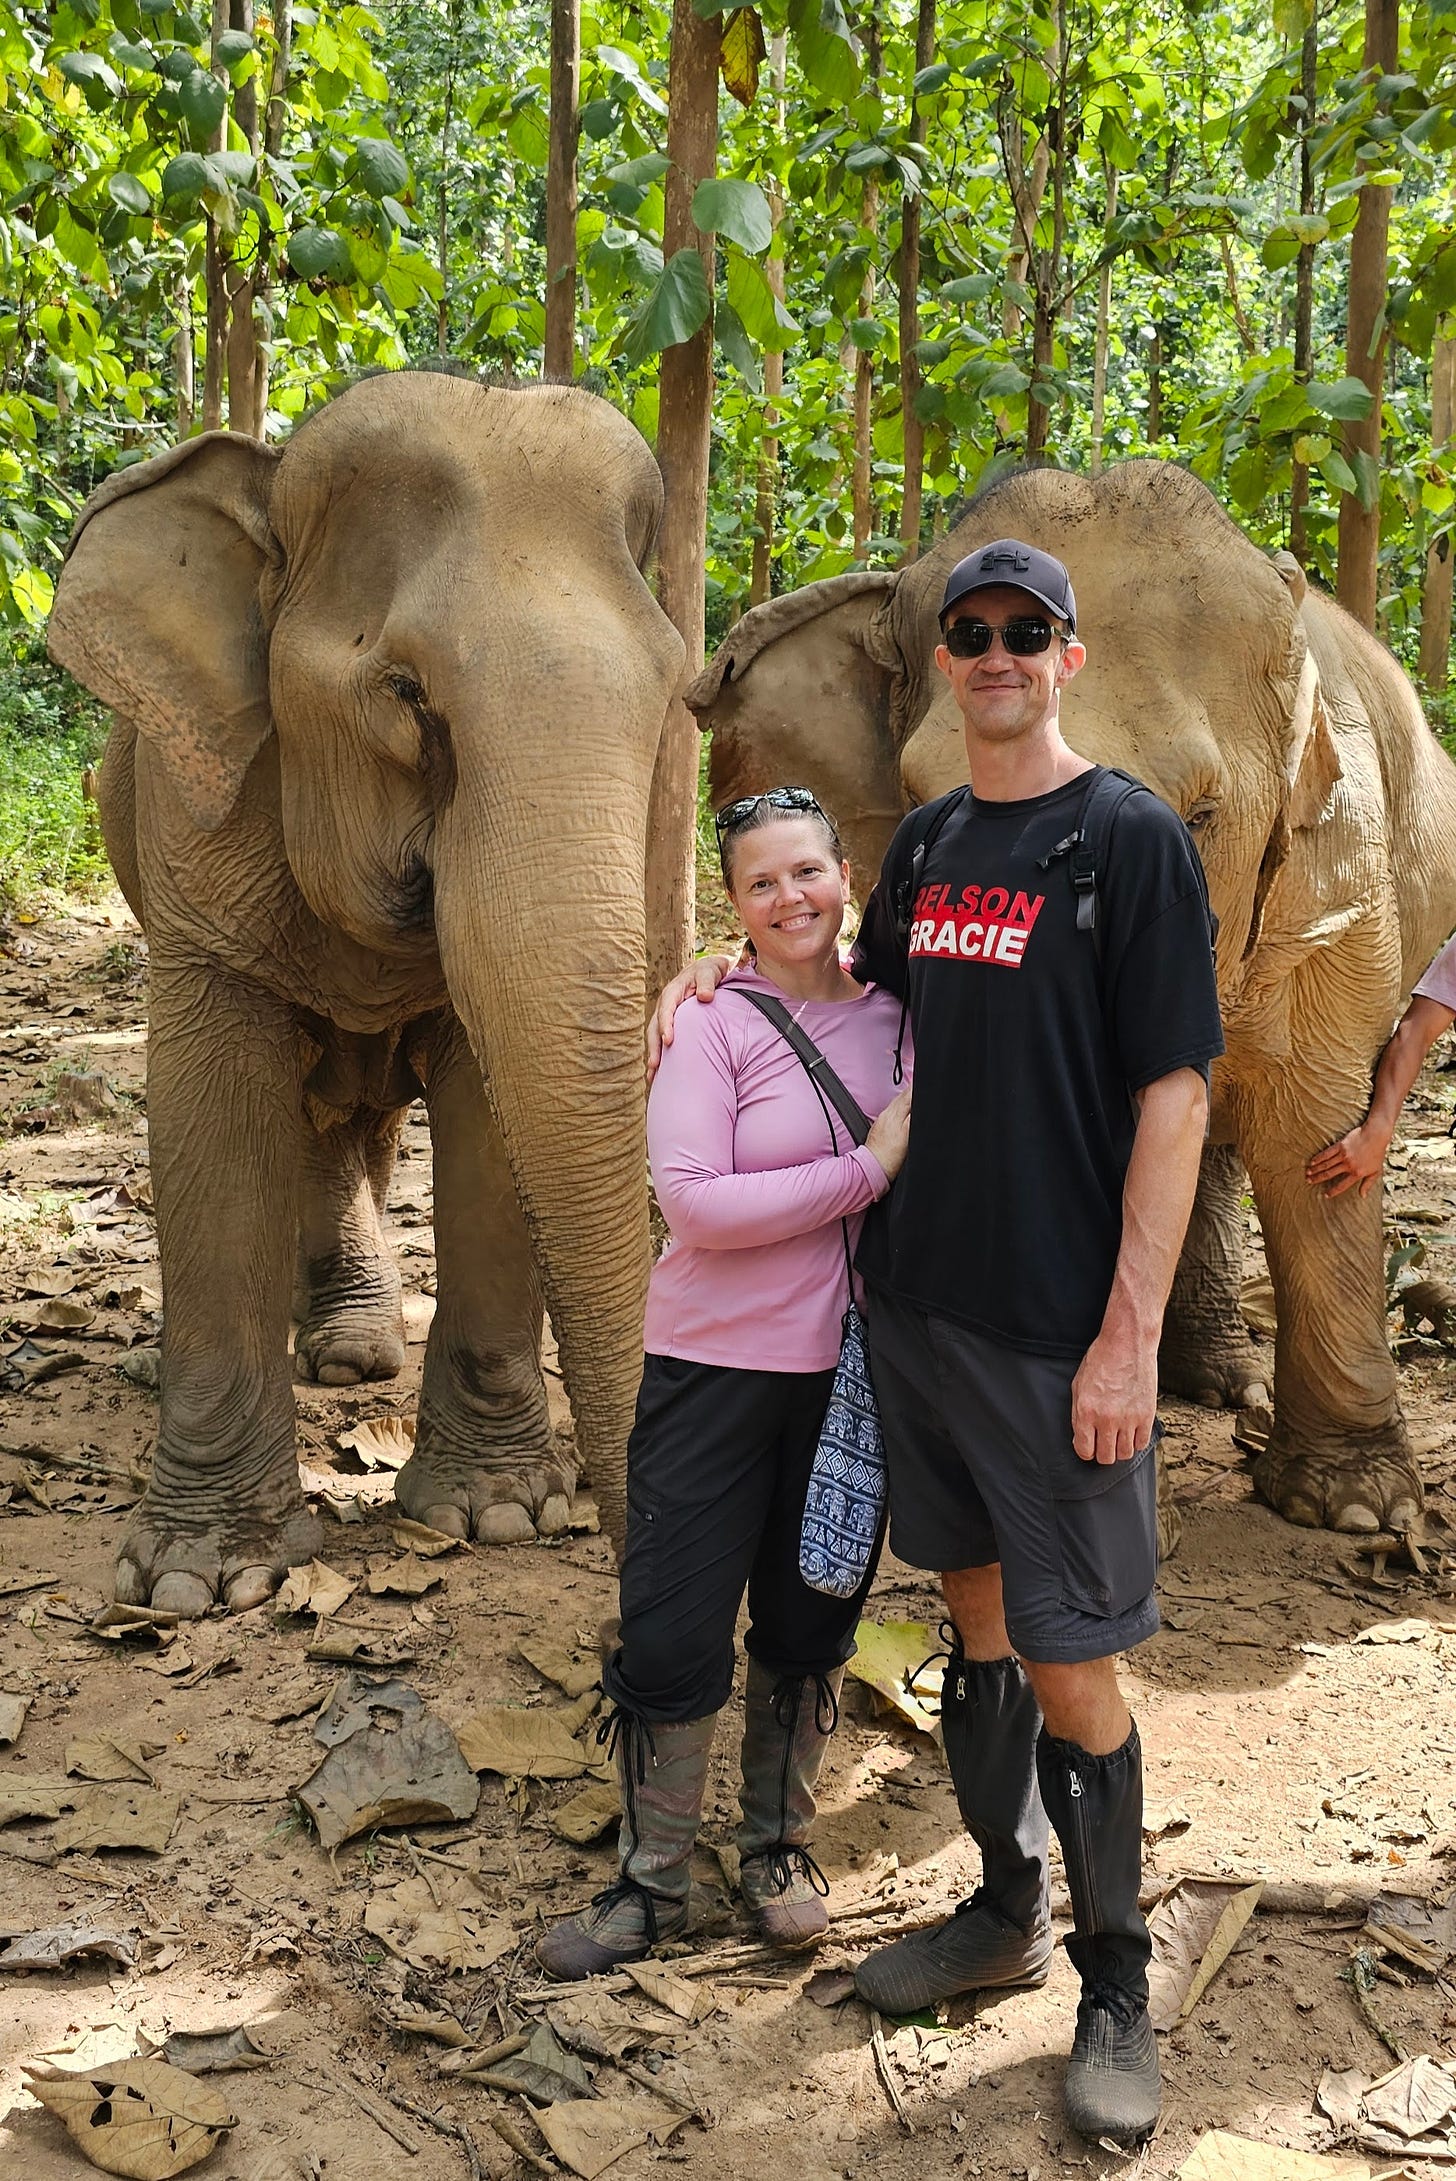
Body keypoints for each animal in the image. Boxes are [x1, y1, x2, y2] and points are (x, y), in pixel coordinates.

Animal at [47, 369, 684, 1614]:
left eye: (674, 688)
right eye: (404, 691)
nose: (628, 1640)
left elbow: (490, 1119)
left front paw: (497, 1516)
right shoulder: (200, 823)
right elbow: (211, 1113)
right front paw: (196, 1584)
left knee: (351, 1122)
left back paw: (350, 1353)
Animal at [686, 457, 1456, 1536]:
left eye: (1203, 816)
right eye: (924, 798)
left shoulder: (1335, 884)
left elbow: (1310, 1142)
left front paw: (1354, 1513)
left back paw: (1225, 1392)